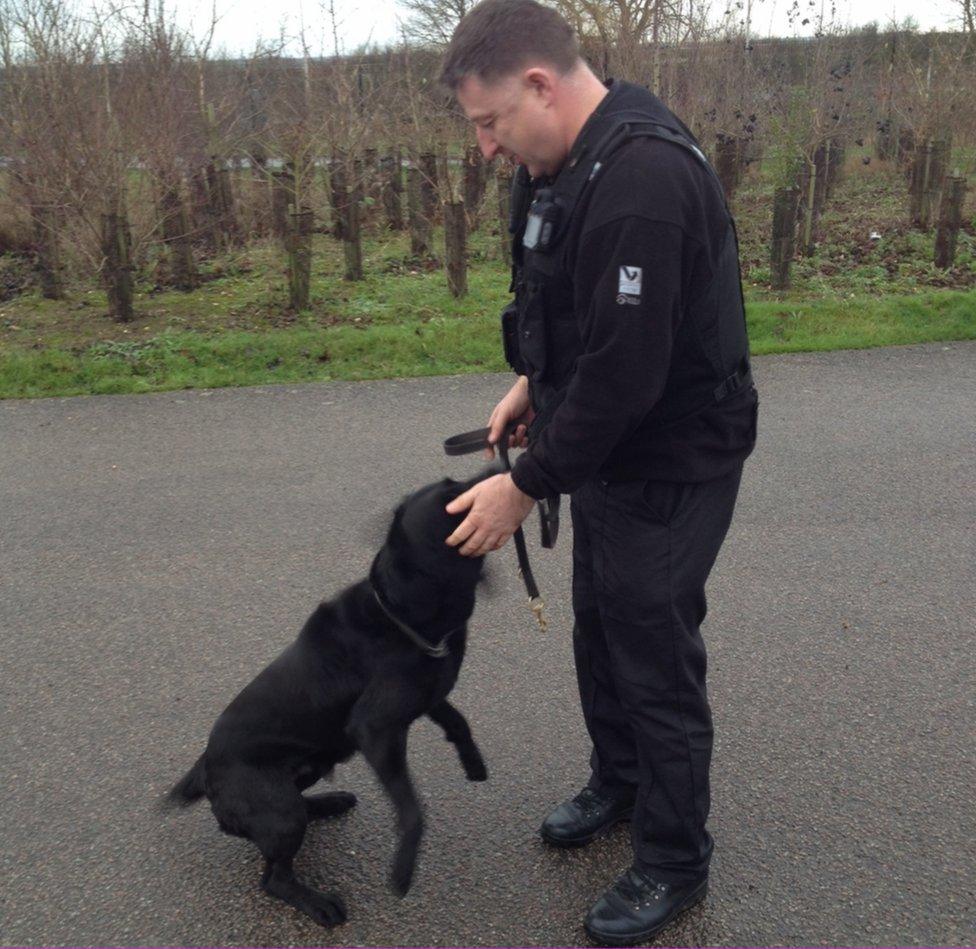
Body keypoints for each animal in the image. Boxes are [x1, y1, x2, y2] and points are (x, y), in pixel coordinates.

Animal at [168, 474, 492, 924]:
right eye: (453, 499)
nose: (502, 470)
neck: (400, 616)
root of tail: (204, 770)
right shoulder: (377, 729)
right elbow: (412, 810)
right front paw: (403, 870)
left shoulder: (425, 696)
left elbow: (459, 722)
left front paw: (474, 763)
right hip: (281, 814)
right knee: (274, 878)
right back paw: (319, 904)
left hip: (310, 769)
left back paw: (328, 803)